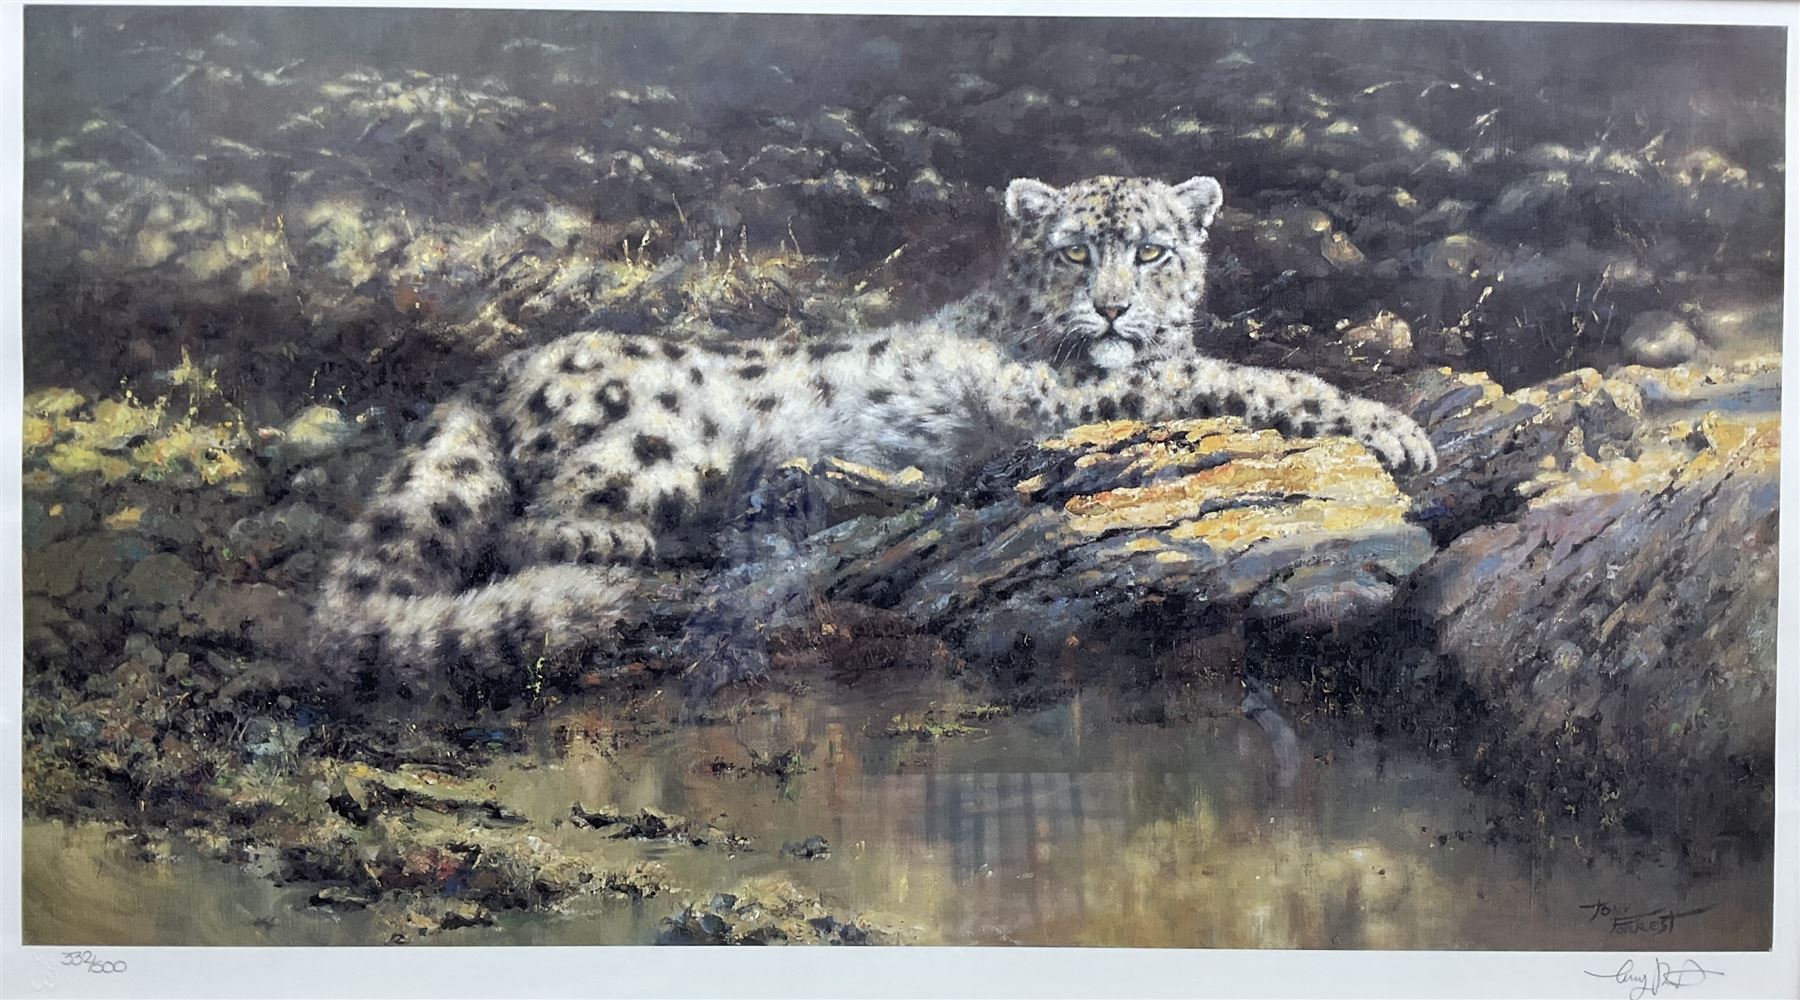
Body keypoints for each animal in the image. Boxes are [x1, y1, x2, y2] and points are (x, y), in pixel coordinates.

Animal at [310, 174, 1437, 716]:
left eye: (1153, 250)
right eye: (1076, 251)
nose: (1115, 308)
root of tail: (499, 369)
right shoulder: (1095, 387)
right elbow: (1253, 378)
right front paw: (1401, 428)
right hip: (661, 444)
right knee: (537, 531)